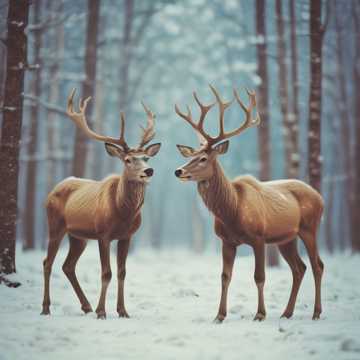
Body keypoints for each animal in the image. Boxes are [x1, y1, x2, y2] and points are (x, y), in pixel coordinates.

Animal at [40, 89, 162, 318]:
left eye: (146, 158)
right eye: (128, 160)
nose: (148, 171)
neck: (123, 212)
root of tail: (54, 189)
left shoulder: (126, 236)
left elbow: (122, 272)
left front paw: (122, 311)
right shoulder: (103, 234)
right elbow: (107, 273)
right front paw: (102, 312)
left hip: (78, 236)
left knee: (67, 266)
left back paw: (85, 306)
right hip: (55, 225)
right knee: (47, 262)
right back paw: (46, 308)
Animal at [174, 86, 324, 322]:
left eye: (204, 159)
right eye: (192, 155)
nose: (179, 171)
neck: (232, 210)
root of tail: (320, 197)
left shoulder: (258, 237)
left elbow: (259, 276)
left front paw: (260, 314)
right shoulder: (226, 240)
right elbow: (225, 276)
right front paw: (219, 315)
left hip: (310, 227)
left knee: (317, 265)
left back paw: (316, 313)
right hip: (286, 238)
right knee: (299, 268)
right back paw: (287, 313)